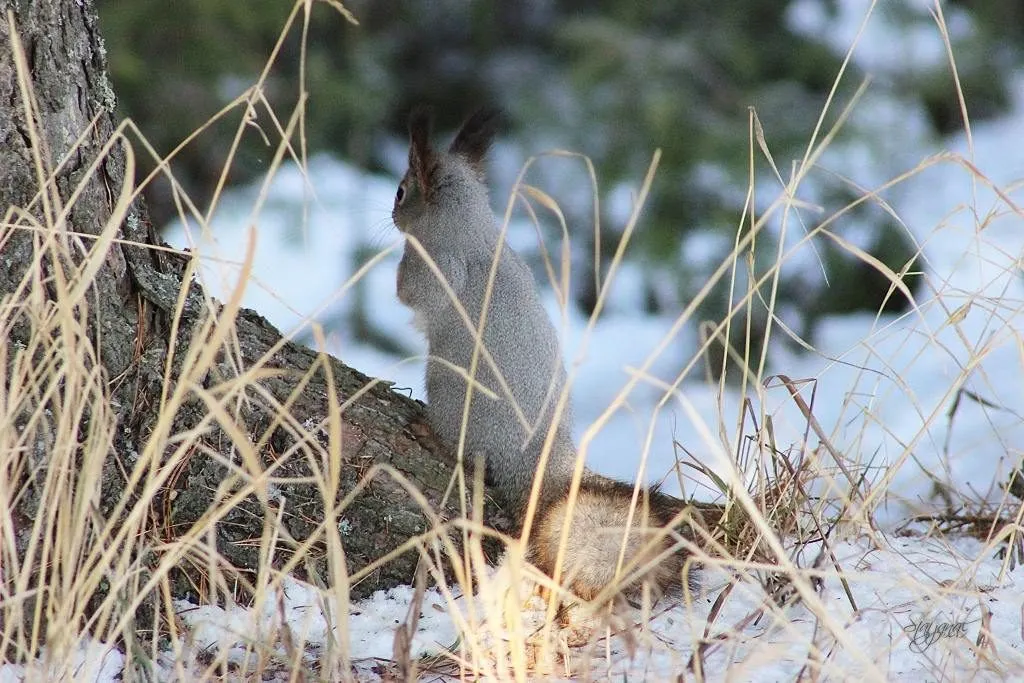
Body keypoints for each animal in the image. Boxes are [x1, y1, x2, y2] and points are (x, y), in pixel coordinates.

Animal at [392, 107, 699, 604]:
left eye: (402, 191)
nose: (393, 214)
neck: (475, 234)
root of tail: (538, 457)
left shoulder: (433, 268)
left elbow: (412, 294)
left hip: (451, 391)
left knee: (470, 459)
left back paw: (431, 434)